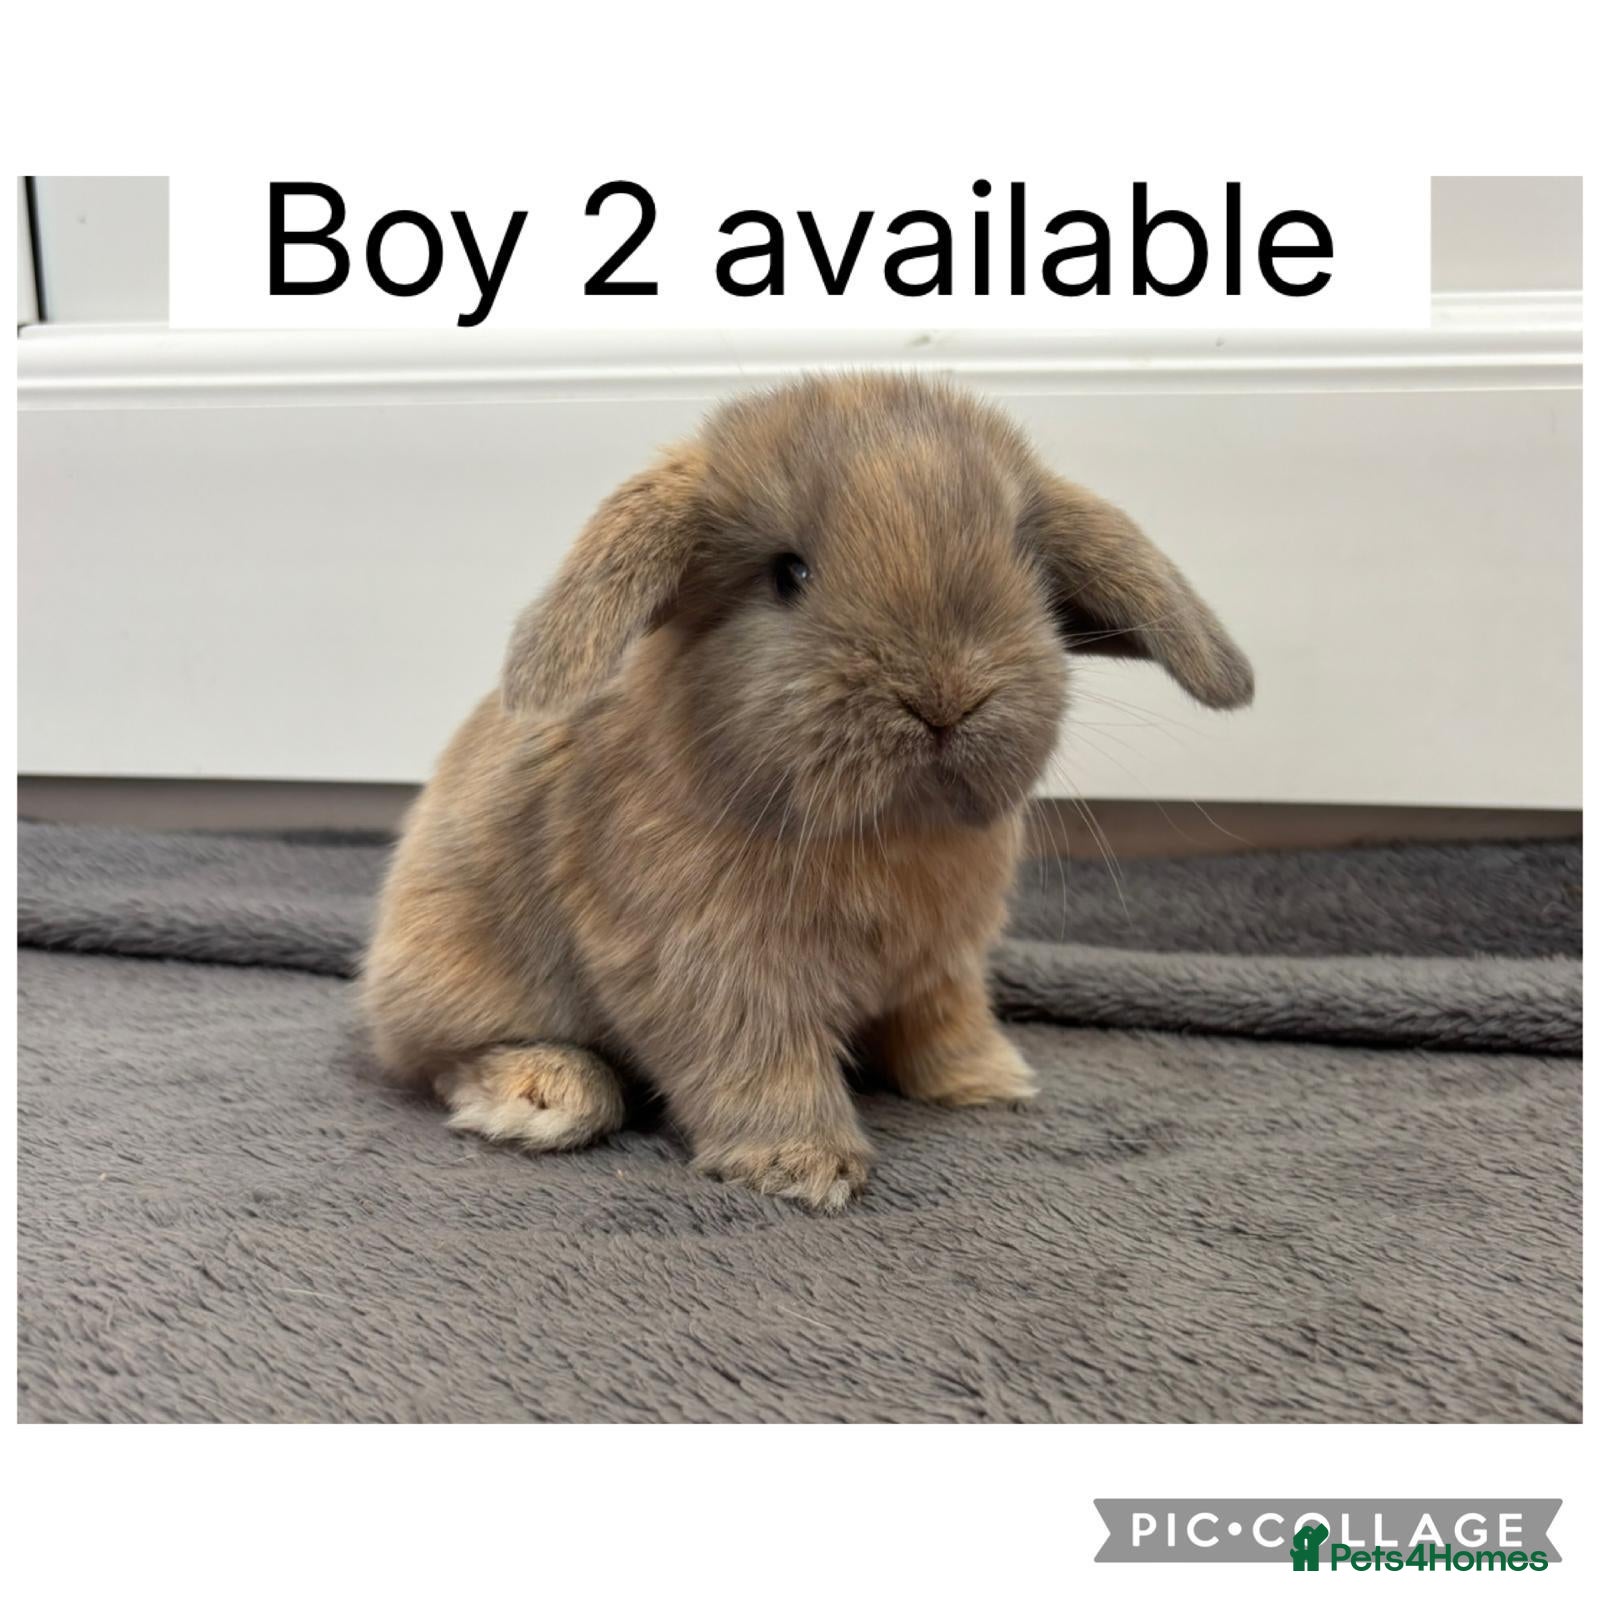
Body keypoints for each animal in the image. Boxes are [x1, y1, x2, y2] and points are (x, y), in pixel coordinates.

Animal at [360, 373, 1252, 1210]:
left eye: (1023, 565)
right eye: (787, 574)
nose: (945, 697)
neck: (886, 829)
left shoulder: (942, 968)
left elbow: (943, 1024)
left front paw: (987, 1081)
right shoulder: (715, 969)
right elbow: (757, 1061)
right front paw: (804, 1166)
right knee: (441, 1062)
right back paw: (545, 1094)